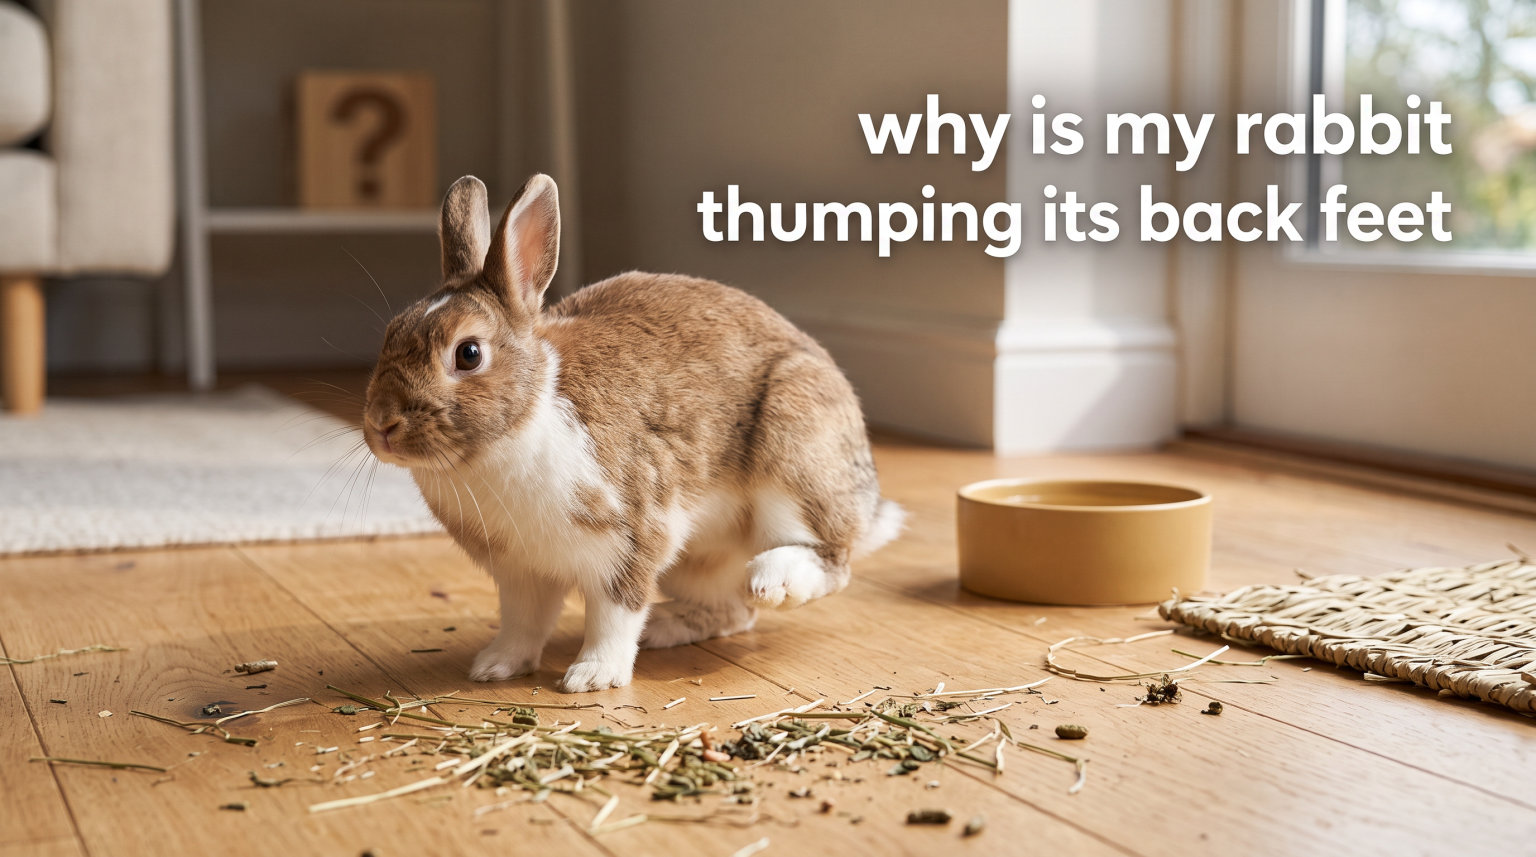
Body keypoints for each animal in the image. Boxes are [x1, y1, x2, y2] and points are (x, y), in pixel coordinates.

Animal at [362, 173, 904, 692]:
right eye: (390, 333)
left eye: (468, 353)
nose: (382, 424)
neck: (524, 420)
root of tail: (868, 504)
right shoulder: (521, 573)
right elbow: (523, 623)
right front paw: (495, 667)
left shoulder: (629, 542)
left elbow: (613, 617)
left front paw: (592, 677)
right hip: (695, 565)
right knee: (732, 612)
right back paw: (666, 628)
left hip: (795, 456)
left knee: (829, 561)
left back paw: (773, 580)